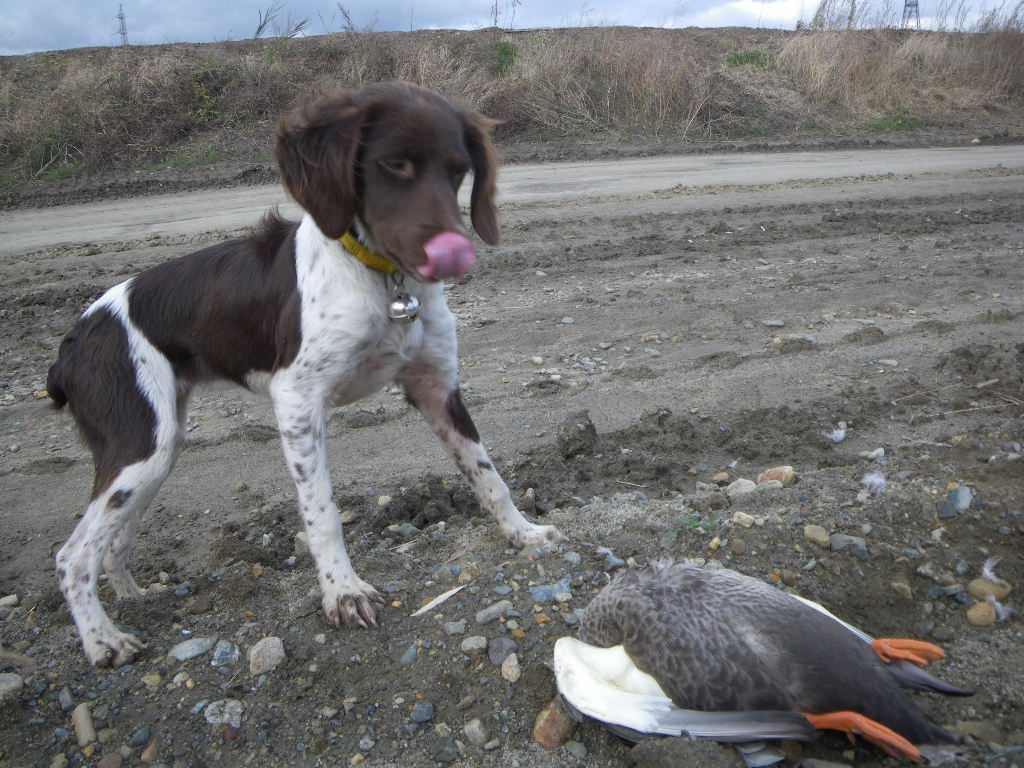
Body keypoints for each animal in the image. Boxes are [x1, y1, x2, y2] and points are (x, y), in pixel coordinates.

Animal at [48, 79, 565, 667]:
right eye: (394, 164)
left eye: (459, 170)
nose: (454, 251)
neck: (383, 282)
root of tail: (72, 343)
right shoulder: (296, 400)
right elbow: (323, 511)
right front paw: (343, 592)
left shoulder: (437, 388)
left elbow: (489, 475)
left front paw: (524, 534)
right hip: (140, 445)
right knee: (71, 556)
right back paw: (103, 639)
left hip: (159, 448)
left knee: (112, 542)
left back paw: (132, 597)